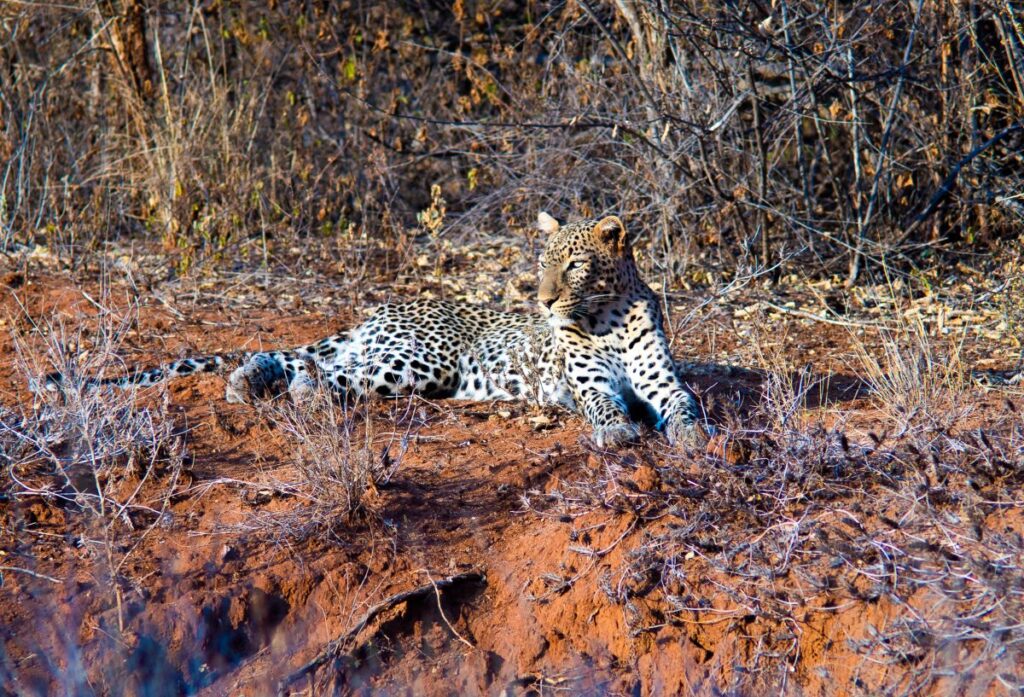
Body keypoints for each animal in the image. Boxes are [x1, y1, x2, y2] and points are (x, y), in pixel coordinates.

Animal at [38, 212, 705, 448]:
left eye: (573, 266)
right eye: (542, 262)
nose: (540, 300)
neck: (606, 316)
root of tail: (380, 310)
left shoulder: (661, 381)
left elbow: (686, 404)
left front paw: (695, 438)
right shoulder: (590, 383)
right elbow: (605, 404)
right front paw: (617, 431)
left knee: (298, 362)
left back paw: (246, 383)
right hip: (420, 361)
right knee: (320, 368)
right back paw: (288, 393)